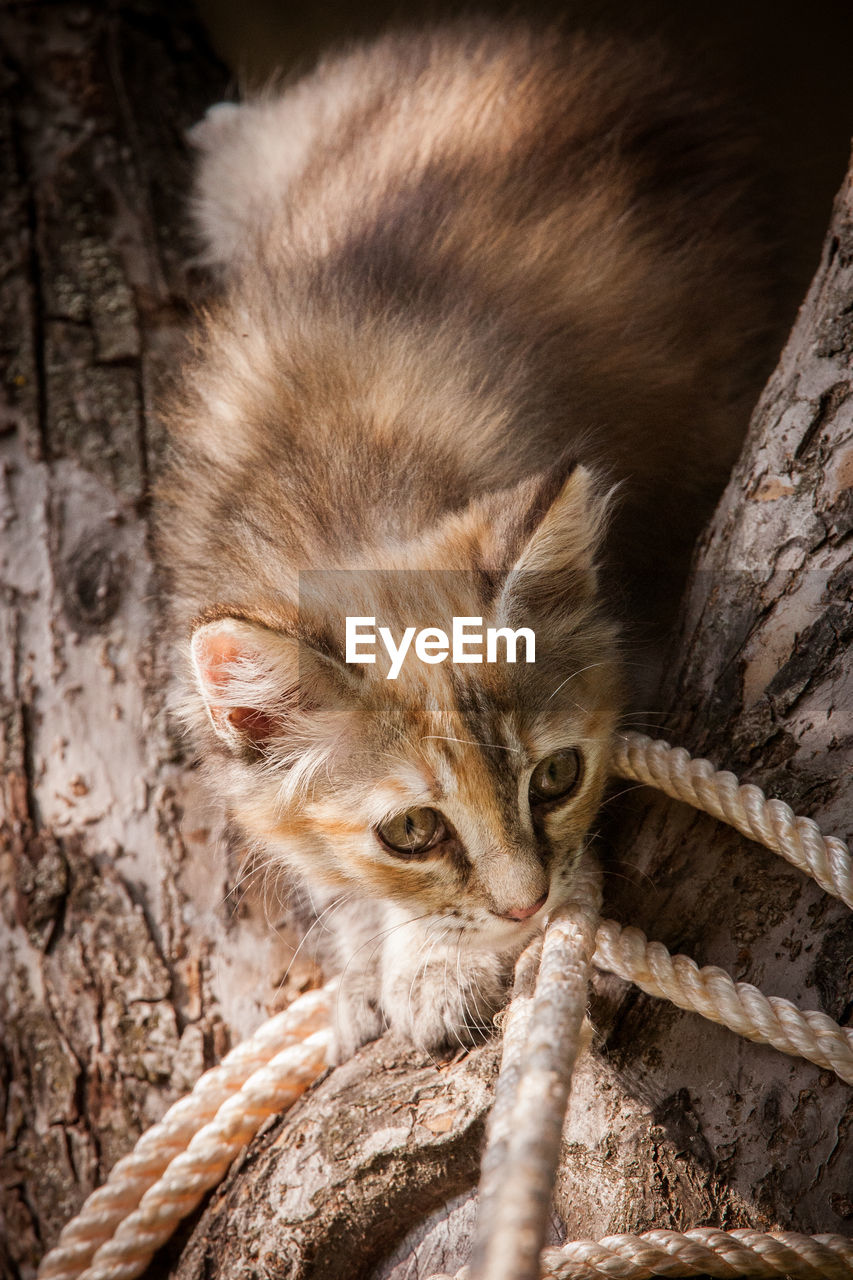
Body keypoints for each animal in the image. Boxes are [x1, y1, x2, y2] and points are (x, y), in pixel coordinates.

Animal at [157, 22, 768, 1059]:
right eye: (413, 830)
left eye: (556, 777)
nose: (525, 909)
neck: (353, 492)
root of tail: (556, 54)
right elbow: (322, 863)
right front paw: (379, 961)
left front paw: (437, 960)